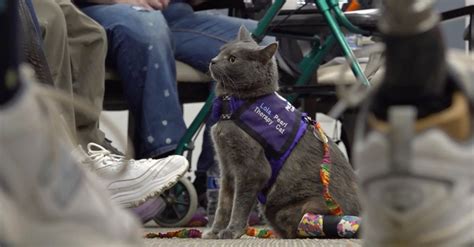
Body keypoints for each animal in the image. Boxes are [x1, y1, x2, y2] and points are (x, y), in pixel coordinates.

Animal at [204, 25, 360, 239]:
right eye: (221, 51)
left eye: (233, 59)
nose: (213, 60)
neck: (234, 105)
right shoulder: (226, 166)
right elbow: (224, 203)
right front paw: (215, 231)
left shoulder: (252, 170)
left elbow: (239, 204)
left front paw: (232, 231)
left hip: (305, 206)